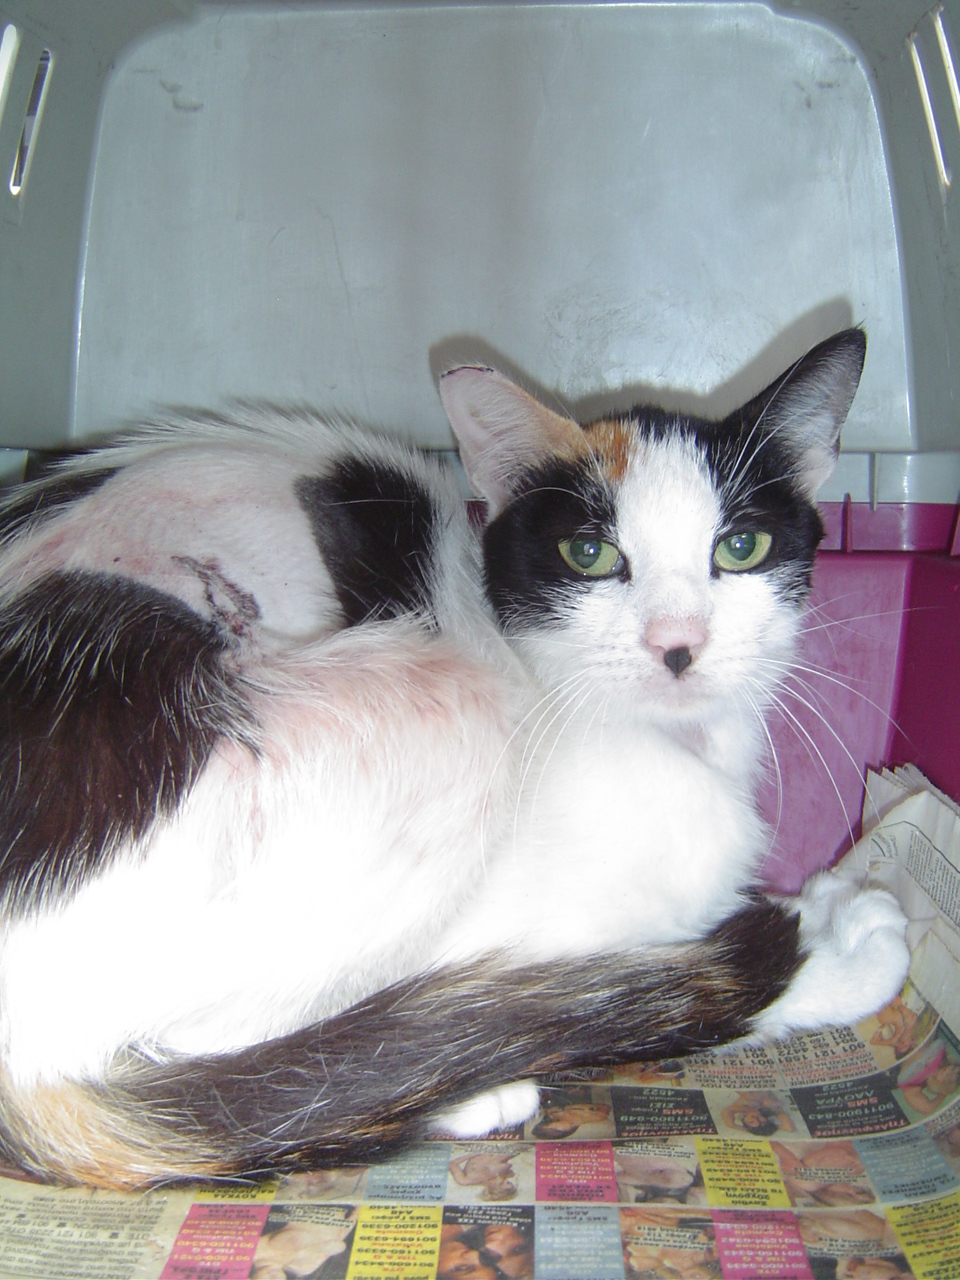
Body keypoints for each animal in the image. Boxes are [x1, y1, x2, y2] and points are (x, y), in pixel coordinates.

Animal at [0, 327, 908, 1188]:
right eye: (590, 556)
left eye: (741, 547)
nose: (676, 644)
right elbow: (645, 988)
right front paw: (851, 946)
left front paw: (827, 899)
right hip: (440, 708)